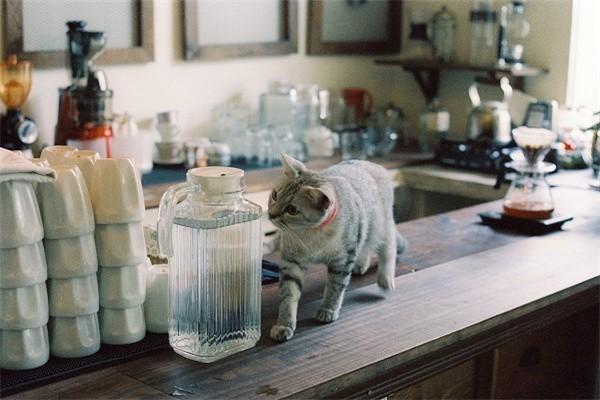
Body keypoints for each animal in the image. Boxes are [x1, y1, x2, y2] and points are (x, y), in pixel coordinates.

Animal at [268, 153, 406, 340]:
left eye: (291, 209)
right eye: (275, 195)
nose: (270, 214)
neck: (311, 234)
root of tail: (373, 164)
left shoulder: (343, 259)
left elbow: (335, 287)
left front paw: (328, 309)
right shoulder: (291, 262)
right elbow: (288, 295)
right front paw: (284, 324)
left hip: (380, 227)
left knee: (388, 248)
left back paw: (385, 278)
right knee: (365, 247)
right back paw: (361, 264)